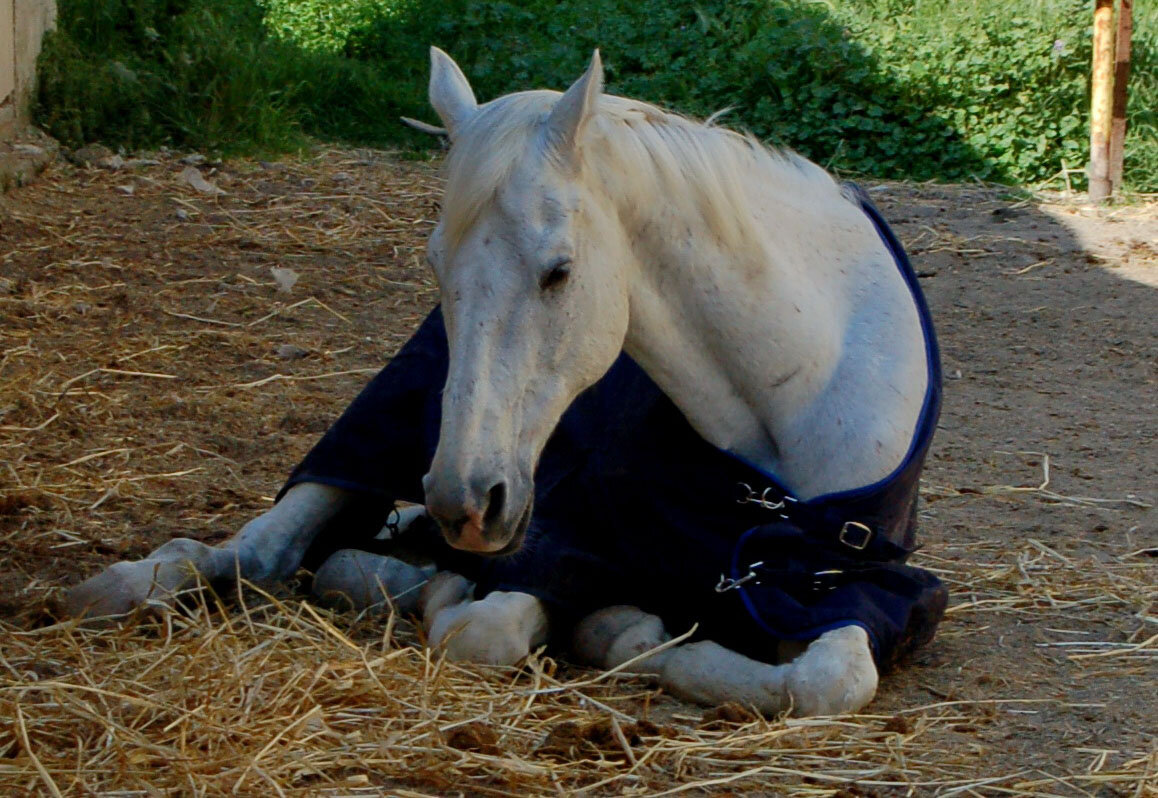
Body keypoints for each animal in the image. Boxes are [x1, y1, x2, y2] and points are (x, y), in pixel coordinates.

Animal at [65, 49, 940, 718]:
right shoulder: (561, 540)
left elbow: (830, 678)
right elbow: (482, 630)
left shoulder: (852, 584)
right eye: (435, 268)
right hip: (377, 439)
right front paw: (618, 629)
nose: (465, 499)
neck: (796, 384)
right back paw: (122, 585)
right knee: (261, 547)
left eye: (560, 271)